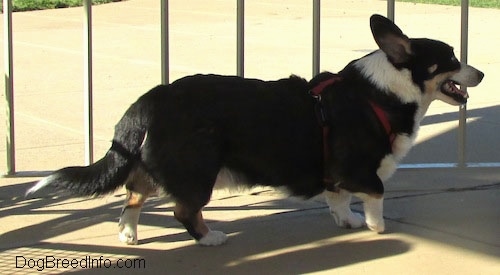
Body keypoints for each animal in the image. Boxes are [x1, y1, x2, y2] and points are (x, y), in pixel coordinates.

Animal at [26, 15, 480, 247]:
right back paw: (209, 238)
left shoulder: (335, 174)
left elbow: (337, 200)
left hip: (158, 166)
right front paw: (375, 228)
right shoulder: (361, 169)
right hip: (197, 170)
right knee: (182, 209)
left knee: (134, 193)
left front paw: (346, 221)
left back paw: (128, 234)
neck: (386, 90)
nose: (481, 74)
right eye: (452, 59)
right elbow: (377, 196)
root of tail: (148, 100)